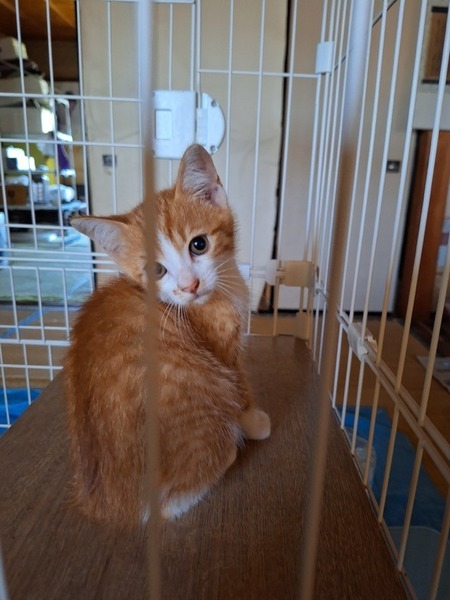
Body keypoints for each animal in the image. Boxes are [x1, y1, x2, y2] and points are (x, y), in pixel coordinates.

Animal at [64, 144, 270, 526]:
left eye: (199, 244)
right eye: (156, 270)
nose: (190, 286)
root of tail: (114, 504)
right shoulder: (223, 351)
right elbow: (241, 387)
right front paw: (253, 421)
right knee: (172, 500)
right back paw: (230, 446)